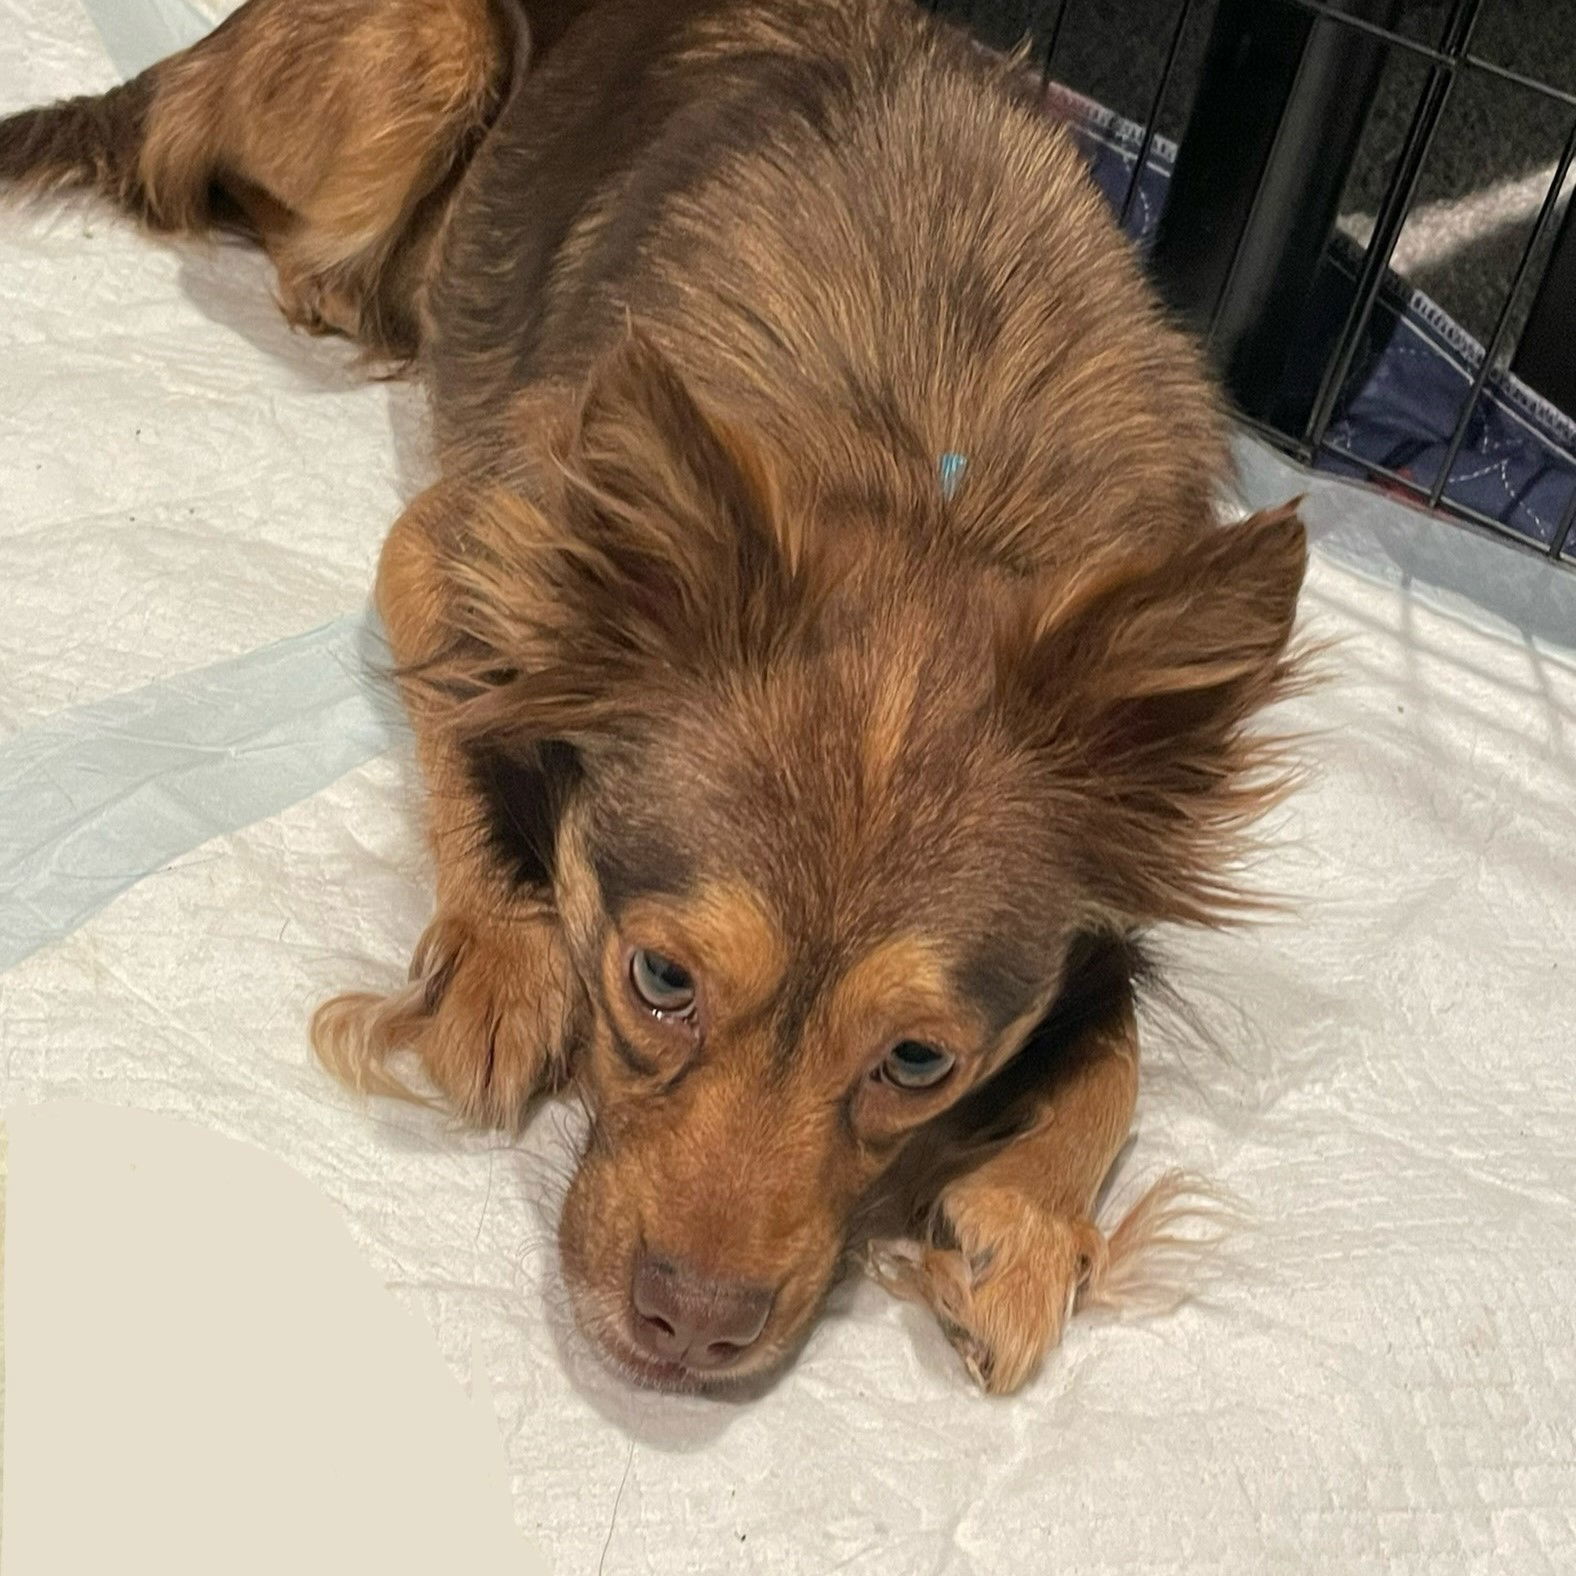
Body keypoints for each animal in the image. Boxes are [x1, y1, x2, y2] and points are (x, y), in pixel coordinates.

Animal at [0, 0, 1304, 1393]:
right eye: (659, 980)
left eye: (917, 1062)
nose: (691, 1330)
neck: (928, 471)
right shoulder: (460, 541)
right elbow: (470, 715)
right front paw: (503, 953)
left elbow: (1114, 1040)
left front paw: (1026, 1222)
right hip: (430, 60)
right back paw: (355, 290)